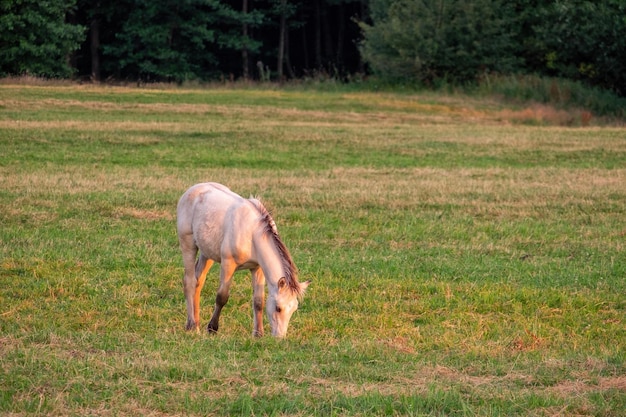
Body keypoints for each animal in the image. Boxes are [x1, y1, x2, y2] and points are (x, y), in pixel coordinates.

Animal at [174, 180, 308, 336]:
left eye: (294, 309)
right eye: (278, 308)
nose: (279, 337)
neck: (252, 234)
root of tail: (193, 189)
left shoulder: (257, 269)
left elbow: (258, 301)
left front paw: (258, 334)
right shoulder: (228, 264)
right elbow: (222, 297)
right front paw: (212, 328)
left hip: (207, 253)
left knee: (198, 282)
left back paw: (195, 322)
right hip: (188, 244)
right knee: (189, 281)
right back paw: (192, 325)